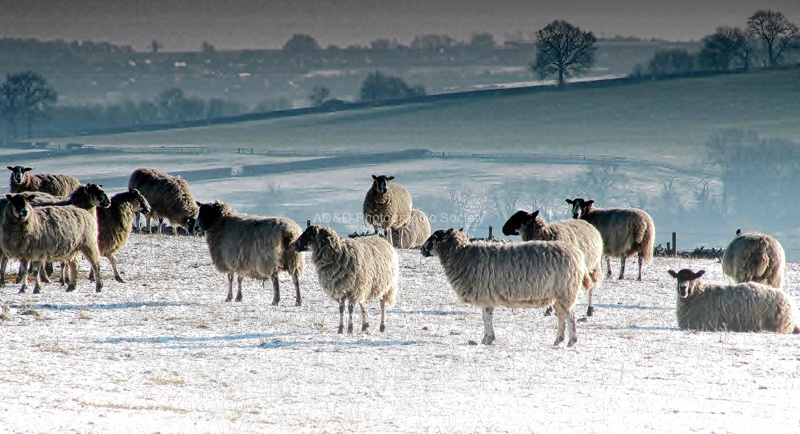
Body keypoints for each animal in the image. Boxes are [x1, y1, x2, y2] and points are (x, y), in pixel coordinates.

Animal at [421, 228, 591, 346]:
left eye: (435, 237)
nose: (422, 249)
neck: (462, 256)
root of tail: (578, 254)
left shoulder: (486, 294)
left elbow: (487, 317)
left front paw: (489, 339)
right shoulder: (485, 295)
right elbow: (484, 317)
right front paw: (485, 338)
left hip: (566, 291)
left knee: (570, 316)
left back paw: (572, 341)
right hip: (557, 296)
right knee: (562, 315)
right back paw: (558, 340)